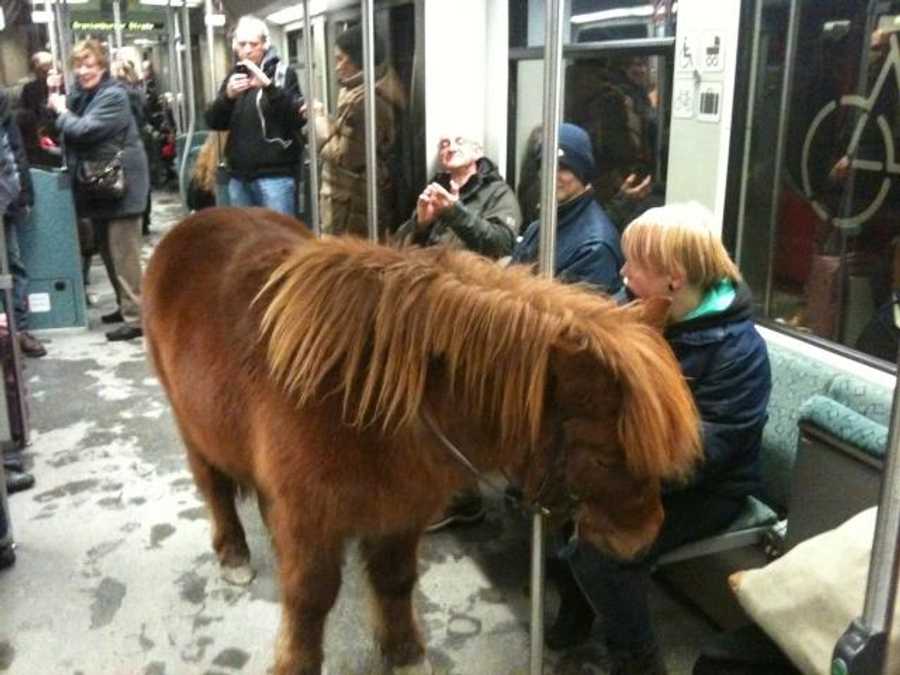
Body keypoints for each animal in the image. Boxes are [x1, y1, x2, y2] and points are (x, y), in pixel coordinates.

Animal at [142, 207, 704, 675]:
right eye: (606, 454)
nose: (644, 536)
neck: (363, 399)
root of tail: (192, 225)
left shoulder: (399, 512)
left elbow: (395, 582)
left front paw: (405, 655)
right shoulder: (311, 521)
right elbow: (309, 599)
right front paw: (298, 662)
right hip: (192, 428)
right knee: (215, 488)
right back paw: (233, 553)